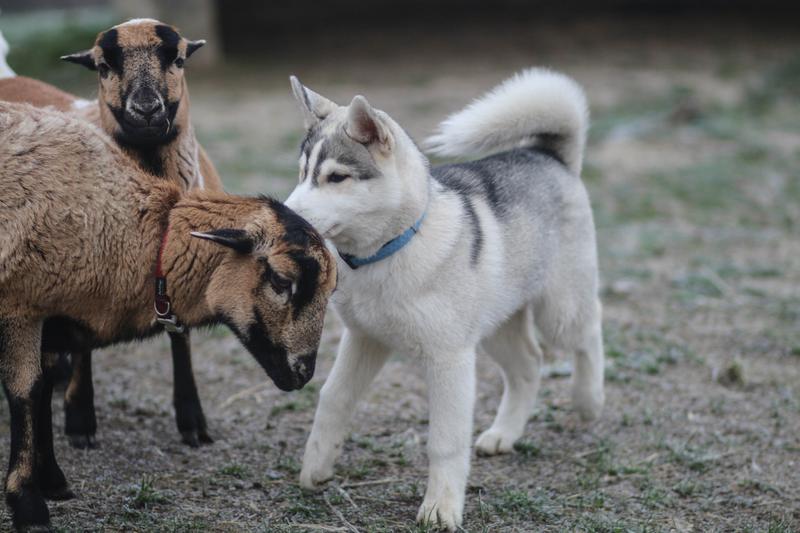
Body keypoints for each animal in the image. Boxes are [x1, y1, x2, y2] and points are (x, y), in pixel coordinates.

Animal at [0, 17, 222, 444]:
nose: (146, 110)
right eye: (103, 66)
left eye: (179, 59)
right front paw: (80, 419)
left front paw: (192, 420)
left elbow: (180, 333)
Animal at [0, 102, 338, 528]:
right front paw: (27, 502)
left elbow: (42, 390)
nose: (304, 372)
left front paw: (51, 480)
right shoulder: (21, 308)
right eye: (280, 280)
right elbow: (26, 393)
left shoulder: (50, 315)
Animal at [284, 68, 604, 528]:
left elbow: (445, 441)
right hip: (495, 326)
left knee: (590, 328)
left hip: (559, 309)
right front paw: (316, 467)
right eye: (302, 174)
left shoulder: (449, 359)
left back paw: (588, 399)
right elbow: (333, 398)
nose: (283, 217)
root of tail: (545, 154)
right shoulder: (364, 339)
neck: (387, 253)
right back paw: (504, 434)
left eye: (336, 178)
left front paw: (441, 508)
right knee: (529, 364)